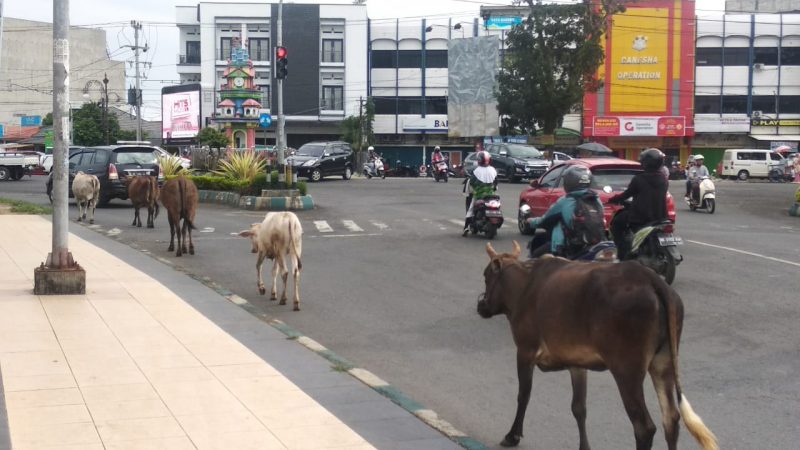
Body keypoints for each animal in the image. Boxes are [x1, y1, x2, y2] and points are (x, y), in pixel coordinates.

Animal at [476, 243, 720, 450]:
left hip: (627, 371)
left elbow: (523, 394)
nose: (481, 305)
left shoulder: (525, 350)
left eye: (486, 276)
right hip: (664, 362)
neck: (524, 286)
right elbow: (579, 408)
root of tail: (653, 279)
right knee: (671, 419)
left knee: (644, 427)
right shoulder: (576, 363)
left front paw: (512, 435)